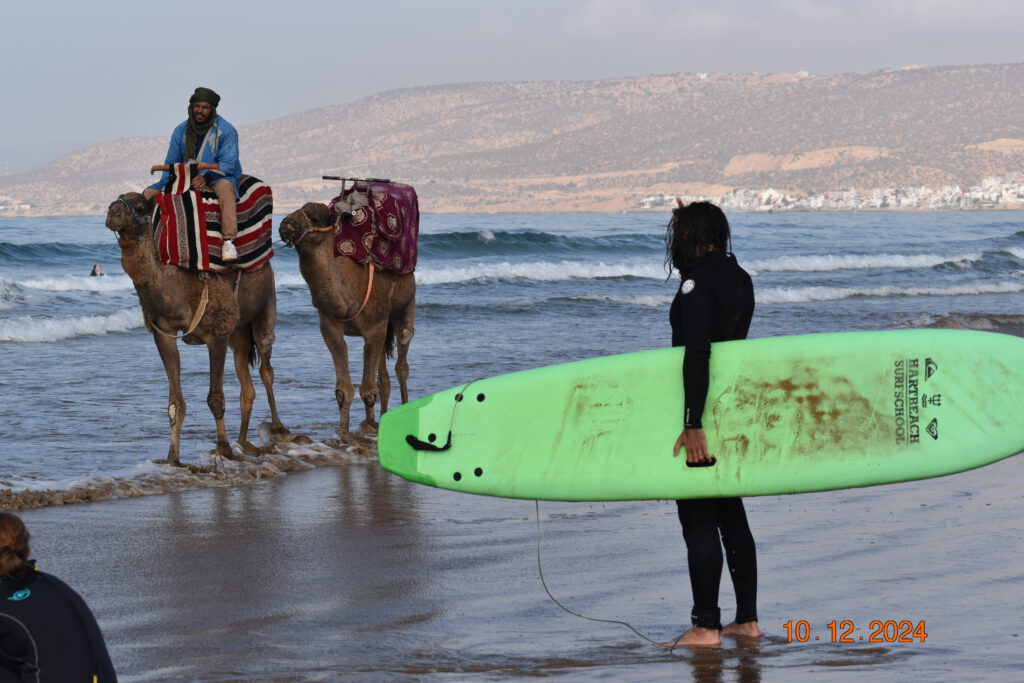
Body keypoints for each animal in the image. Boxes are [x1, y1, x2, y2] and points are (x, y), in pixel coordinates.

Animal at [104, 194, 286, 466]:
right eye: (115, 202)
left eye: (139, 207)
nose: (112, 213)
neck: (177, 292)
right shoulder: (163, 335)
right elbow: (175, 404)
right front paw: (172, 458)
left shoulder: (217, 335)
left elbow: (216, 398)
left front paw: (224, 450)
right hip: (238, 333)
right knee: (247, 383)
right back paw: (243, 442)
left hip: (266, 304)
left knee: (266, 368)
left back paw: (277, 429)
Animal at [278, 200, 413, 440]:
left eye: (315, 217)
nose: (286, 224)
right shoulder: (331, 328)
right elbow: (343, 390)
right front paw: (344, 431)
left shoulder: (374, 327)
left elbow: (368, 390)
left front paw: (363, 428)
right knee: (383, 376)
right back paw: (382, 418)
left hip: (405, 308)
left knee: (402, 362)